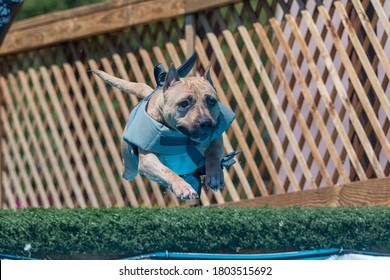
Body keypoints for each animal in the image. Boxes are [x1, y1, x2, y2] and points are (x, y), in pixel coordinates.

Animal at [93, 62, 235, 200]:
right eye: (184, 103)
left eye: (211, 101)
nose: (205, 122)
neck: (182, 138)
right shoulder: (148, 160)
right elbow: (167, 171)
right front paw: (182, 187)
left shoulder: (216, 138)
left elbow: (213, 156)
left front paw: (215, 175)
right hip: (129, 167)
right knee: (129, 170)